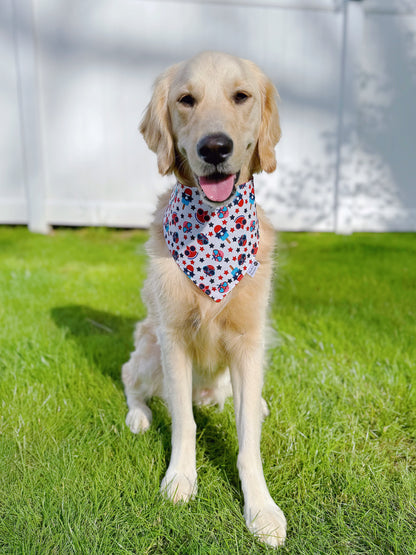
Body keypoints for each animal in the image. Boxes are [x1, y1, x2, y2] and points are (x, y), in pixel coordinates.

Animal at [122, 52, 286, 548]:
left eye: (241, 96)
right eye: (186, 99)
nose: (215, 147)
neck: (214, 231)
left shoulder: (249, 341)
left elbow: (247, 435)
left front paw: (261, 509)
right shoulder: (174, 340)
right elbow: (184, 423)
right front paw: (180, 478)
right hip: (150, 350)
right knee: (131, 379)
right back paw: (138, 416)